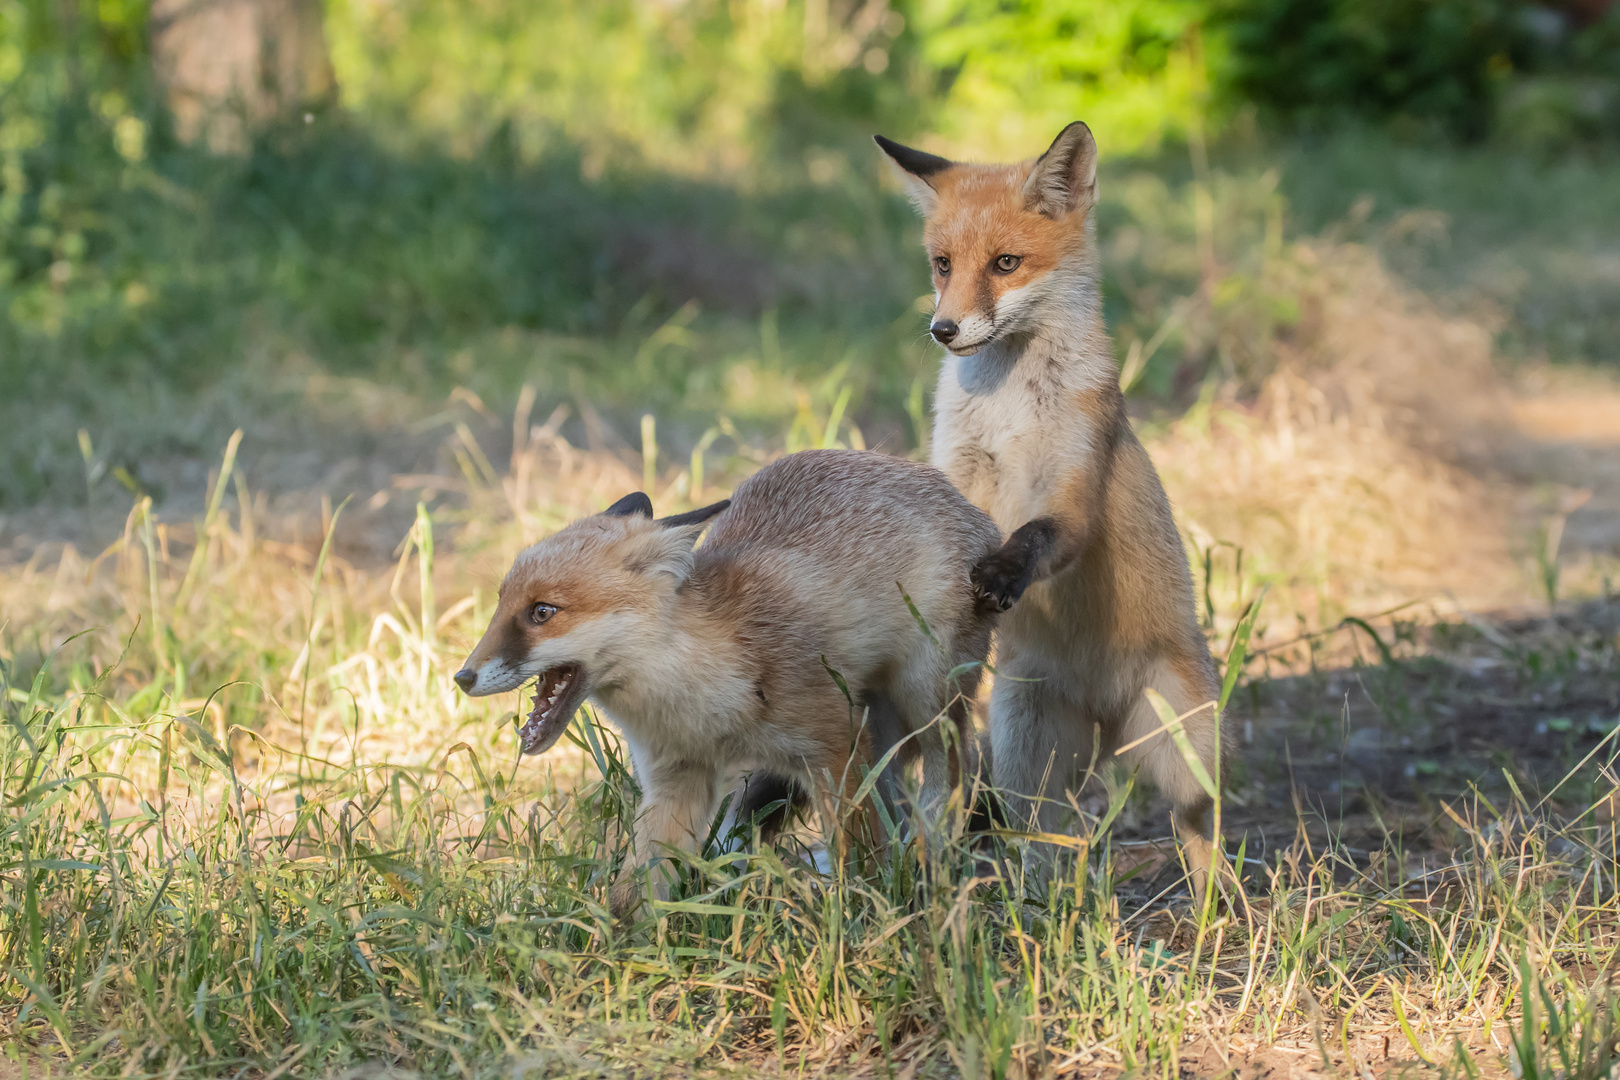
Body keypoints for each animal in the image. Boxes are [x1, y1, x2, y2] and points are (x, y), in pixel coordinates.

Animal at [456, 450, 1004, 919]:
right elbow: (631, 894)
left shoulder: (835, 750)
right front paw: (610, 961)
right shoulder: (677, 780)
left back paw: (936, 874)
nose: (462, 677)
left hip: (928, 703)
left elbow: (861, 861)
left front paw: (857, 926)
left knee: (947, 782)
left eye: (542, 612)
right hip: (880, 732)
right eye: (501, 604)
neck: (702, 701)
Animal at [881, 122, 1218, 900]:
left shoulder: (1070, 481)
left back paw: (1222, 909)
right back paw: (1036, 900)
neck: (1008, 407)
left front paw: (1004, 572)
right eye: (942, 265)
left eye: (1006, 264)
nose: (944, 329)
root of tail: (1104, 715)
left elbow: (1039, 534)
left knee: (1197, 823)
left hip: (1185, 749)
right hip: (1022, 745)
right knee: (1040, 832)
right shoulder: (960, 475)